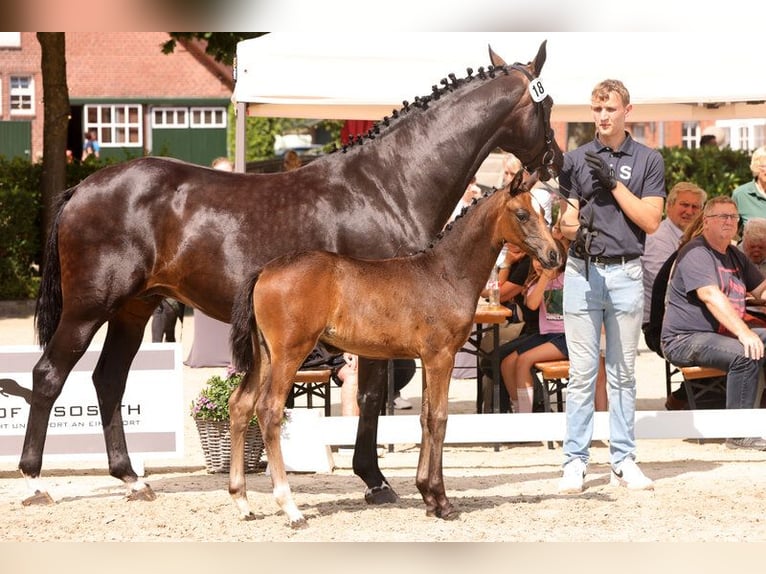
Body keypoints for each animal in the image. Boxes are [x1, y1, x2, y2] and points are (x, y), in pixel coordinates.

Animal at [229, 170, 562, 526]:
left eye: (544, 212)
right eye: (522, 214)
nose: (555, 255)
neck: (446, 274)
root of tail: (264, 270)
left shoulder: (429, 359)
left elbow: (426, 417)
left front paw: (428, 496)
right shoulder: (442, 357)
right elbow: (440, 419)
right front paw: (442, 501)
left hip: (264, 356)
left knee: (240, 405)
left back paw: (242, 502)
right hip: (289, 354)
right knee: (269, 410)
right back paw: (290, 508)